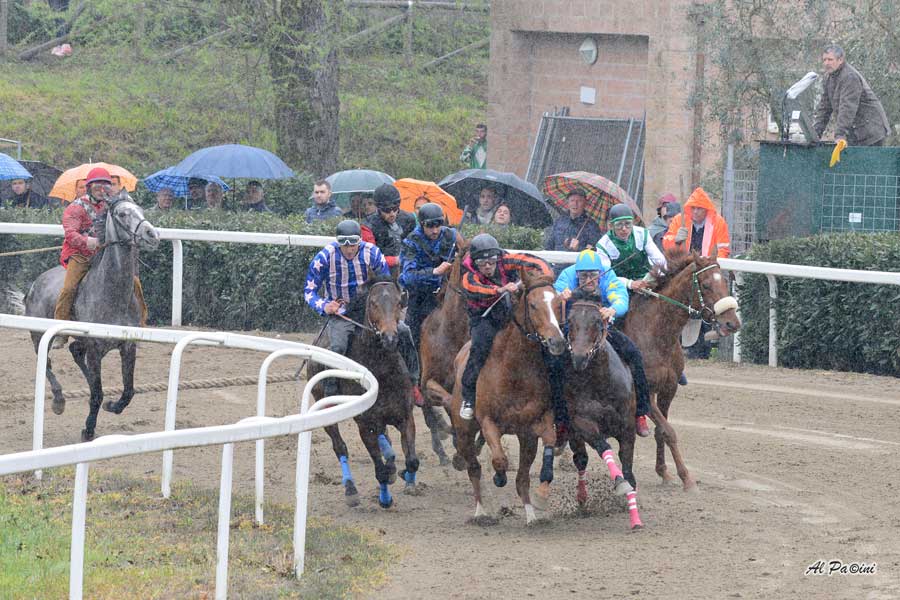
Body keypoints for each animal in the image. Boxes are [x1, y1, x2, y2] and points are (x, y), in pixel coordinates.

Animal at [24, 195, 160, 442]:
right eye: (122, 214)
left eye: (141, 210)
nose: (151, 234)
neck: (112, 294)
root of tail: (36, 283)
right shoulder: (95, 349)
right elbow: (97, 393)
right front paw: (88, 429)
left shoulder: (128, 346)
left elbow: (128, 390)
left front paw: (112, 405)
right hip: (38, 336)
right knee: (46, 362)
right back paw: (59, 400)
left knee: (76, 352)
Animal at [308, 276, 420, 506]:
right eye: (373, 303)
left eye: (398, 302)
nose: (389, 338)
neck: (382, 373)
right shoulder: (365, 424)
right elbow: (380, 471)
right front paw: (385, 498)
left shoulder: (405, 416)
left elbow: (412, 460)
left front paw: (405, 476)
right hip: (326, 410)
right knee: (340, 447)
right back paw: (351, 489)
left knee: (386, 439)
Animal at [438, 268, 568, 524]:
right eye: (533, 304)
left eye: (558, 303)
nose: (557, 342)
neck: (513, 369)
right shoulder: (489, 422)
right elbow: (499, 460)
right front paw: (499, 477)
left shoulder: (534, 426)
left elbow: (544, 450)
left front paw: (539, 500)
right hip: (464, 429)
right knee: (473, 468)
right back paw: (480, 511)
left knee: (521, 478)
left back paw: (530, 515)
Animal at [568, 296, 644, 528]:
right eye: (570, 322)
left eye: (597, 322)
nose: (579, 357)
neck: (599, 381)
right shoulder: (582, 423)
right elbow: (605, 448)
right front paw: (620, 483)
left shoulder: (627, 427)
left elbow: (626, 463)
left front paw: (633, 510)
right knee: (581, 459)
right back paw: (582, 498)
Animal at [624, 251, 740, 490]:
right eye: (706, 285)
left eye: (725, 282)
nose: (732, 323)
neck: (656, 334)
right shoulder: (644, 390)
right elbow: (669, 431)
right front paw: (687, 478)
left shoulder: (668, 389)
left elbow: (661, 431)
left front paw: (665, 472)